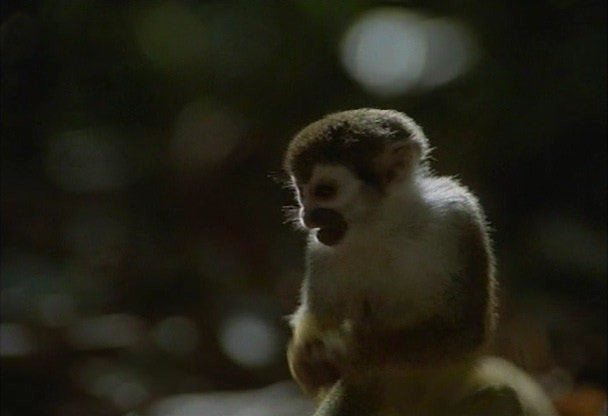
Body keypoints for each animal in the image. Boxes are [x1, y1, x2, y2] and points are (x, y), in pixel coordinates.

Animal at [282, 109, 557, 416]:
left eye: (325, 191)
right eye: (300, 191)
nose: (307, 216)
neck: (385, 224)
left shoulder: (459, 215)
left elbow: (468, 327)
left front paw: (351, 350)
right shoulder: (319, 250)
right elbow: (316, 327)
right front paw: (307, 362)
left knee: (503, 397)